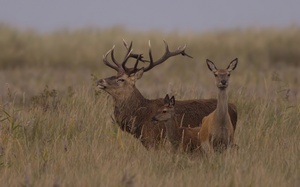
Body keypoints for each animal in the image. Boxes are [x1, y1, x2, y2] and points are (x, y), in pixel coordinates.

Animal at [97, 40, 238, 150]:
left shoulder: (155, 140)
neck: (140, 117)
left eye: (121, 79)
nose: (100, 81)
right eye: (114, 75)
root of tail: (234, 107)